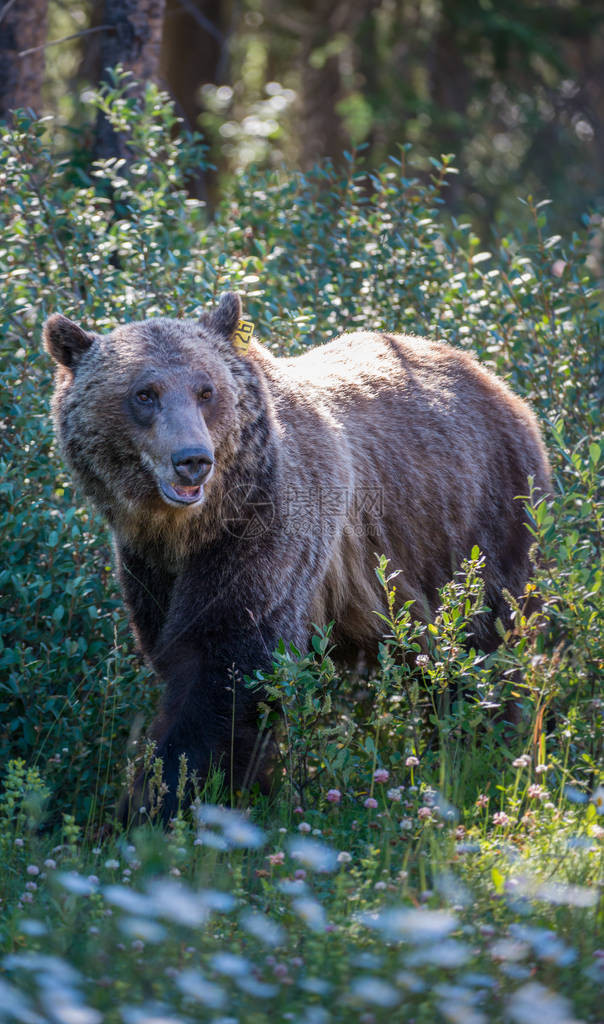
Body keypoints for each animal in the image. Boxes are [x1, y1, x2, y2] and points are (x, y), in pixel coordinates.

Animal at [45, 292, 552, 819]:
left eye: (206, 391)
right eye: (145, 393)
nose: (192, 460)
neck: (195, 528)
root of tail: (499, 383)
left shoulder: (271, 532)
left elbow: (227, 670)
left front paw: (154, 803)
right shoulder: (150, 566)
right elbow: (181, 656)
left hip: (481, 526)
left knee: (485, 645)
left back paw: (487, 746)